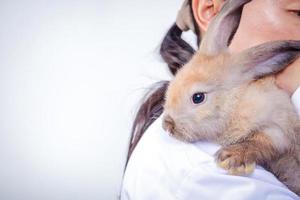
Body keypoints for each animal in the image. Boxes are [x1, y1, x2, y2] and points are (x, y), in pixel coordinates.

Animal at [163, 0, 300, 195]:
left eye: (198, 97)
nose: (167, 125)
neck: (235, 104)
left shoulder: (278, 126)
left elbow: (260, 140)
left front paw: (231, 157)